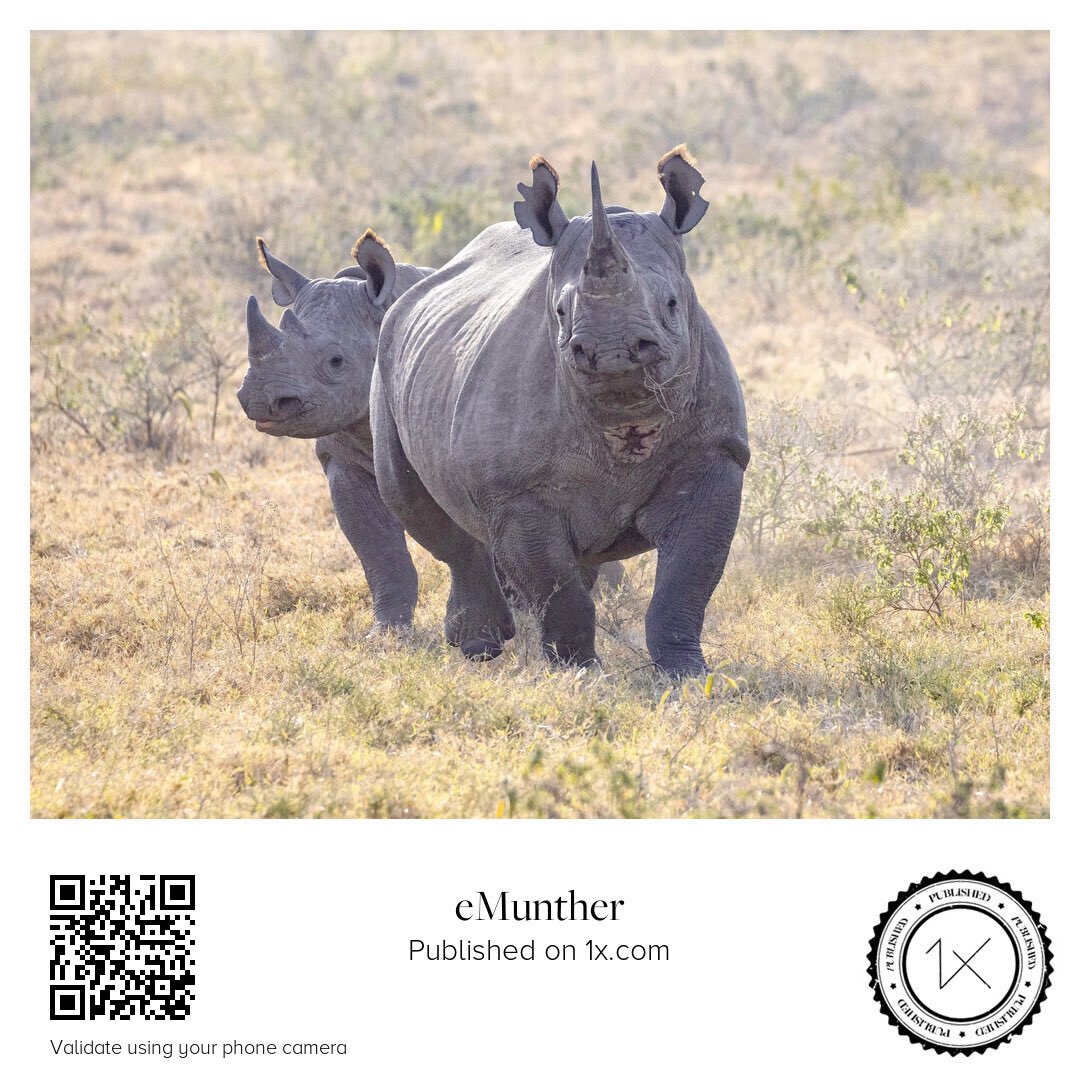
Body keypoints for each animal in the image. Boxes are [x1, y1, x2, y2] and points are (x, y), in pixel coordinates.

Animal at [371, 147, 748, 676]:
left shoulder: (717, 452)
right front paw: (577, 672)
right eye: (560, 312)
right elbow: (556, 588)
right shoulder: (515, 490)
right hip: (384, 362)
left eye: (673, 304)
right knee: (423, 514)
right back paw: (479, 649)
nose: (611, 350)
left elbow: (688, 577)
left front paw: (687, 673)